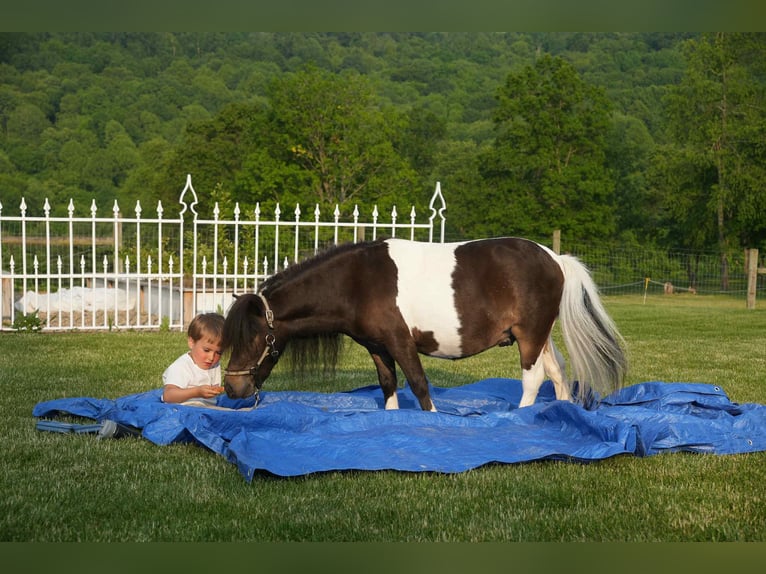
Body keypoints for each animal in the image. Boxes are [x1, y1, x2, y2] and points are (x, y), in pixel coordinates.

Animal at [221, 237, 627, 411]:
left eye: (254, 339)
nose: (232, 389)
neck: (357, 282)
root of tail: (556, 259)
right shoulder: (378, 347)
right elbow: (388, 386)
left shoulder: (401, 342)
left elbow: (419, 385)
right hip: (539, 336)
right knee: (558, 372)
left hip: (531, 335)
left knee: (534, 378)